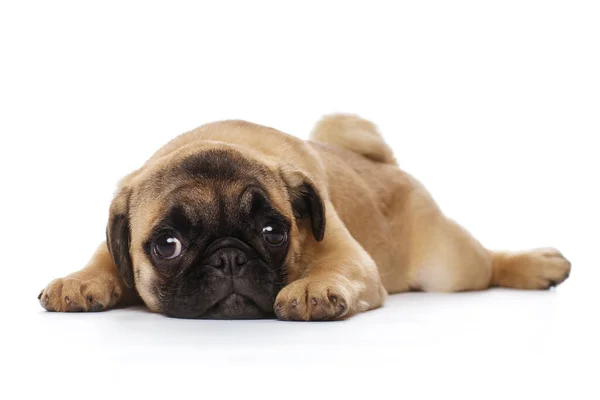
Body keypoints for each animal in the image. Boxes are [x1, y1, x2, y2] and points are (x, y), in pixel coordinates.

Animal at [38, 114, 572, 320]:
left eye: (274, 231)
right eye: (167, 245)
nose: (229, 258)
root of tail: (384, 164)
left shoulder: (349, 257)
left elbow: (334, 267)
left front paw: (313, 289)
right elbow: (104, 259)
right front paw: (78, 281)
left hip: (449, 265)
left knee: (487, 262)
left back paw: (539, 264)